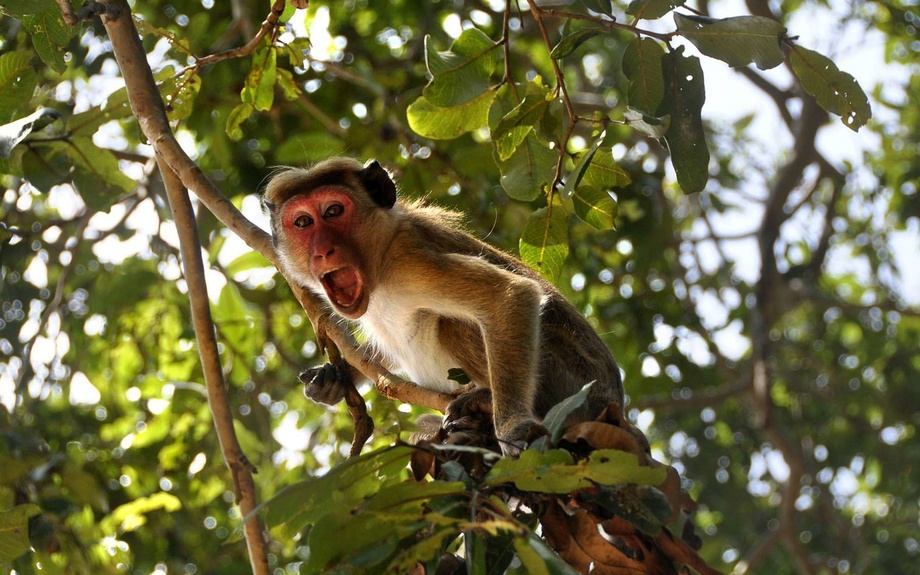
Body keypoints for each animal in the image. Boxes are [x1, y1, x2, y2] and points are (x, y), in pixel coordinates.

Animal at [262, 156, 628, 454]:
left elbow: (509, 294)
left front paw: (513, 426)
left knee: (455, 324)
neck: (378, 265)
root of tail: (613, 405)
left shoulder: (410, 263)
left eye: (334, 211)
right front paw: (334, 376)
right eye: (303, 222)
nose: (323, 251)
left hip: (574, 388)